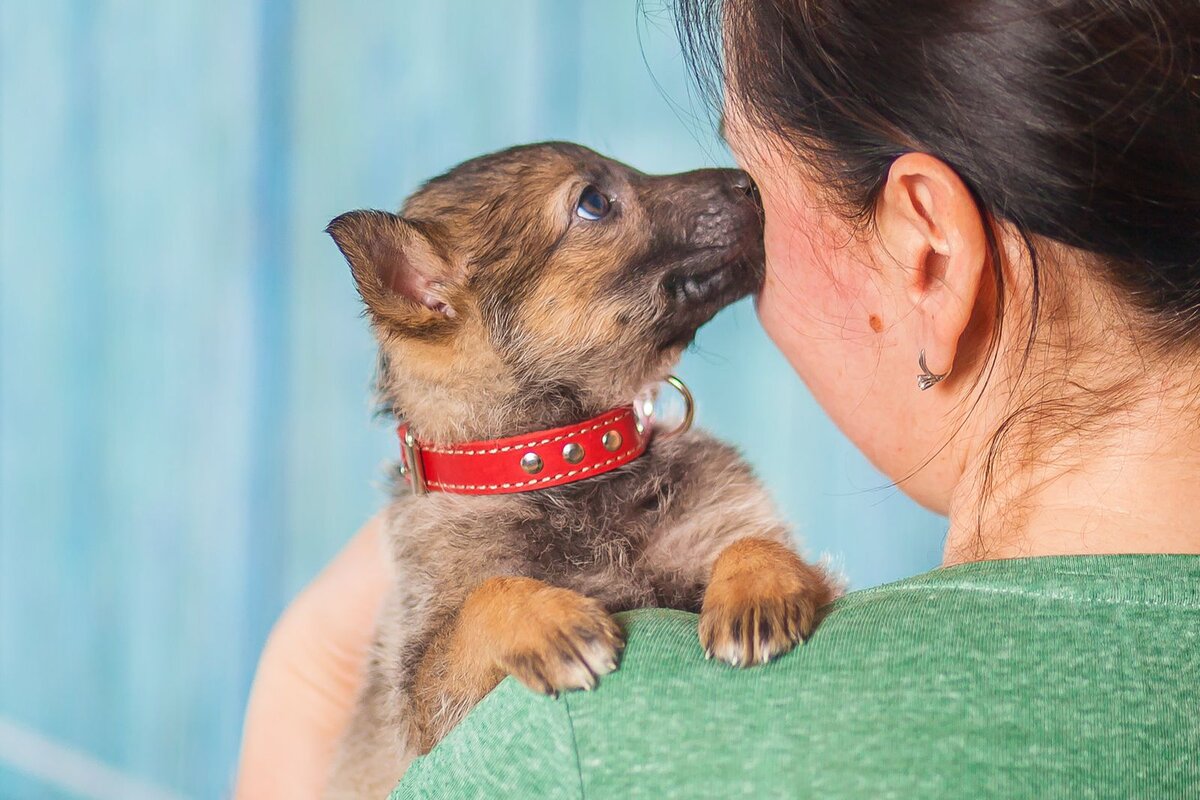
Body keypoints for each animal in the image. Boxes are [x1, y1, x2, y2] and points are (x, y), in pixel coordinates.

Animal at [324, 143, 840, 800]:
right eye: (593, 202)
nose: (748, 182)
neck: (569, 470)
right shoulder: (423, 703)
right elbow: (486, 597)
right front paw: (549, 621)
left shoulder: (717, 521)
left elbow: (752, 540)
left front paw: (757, 590)